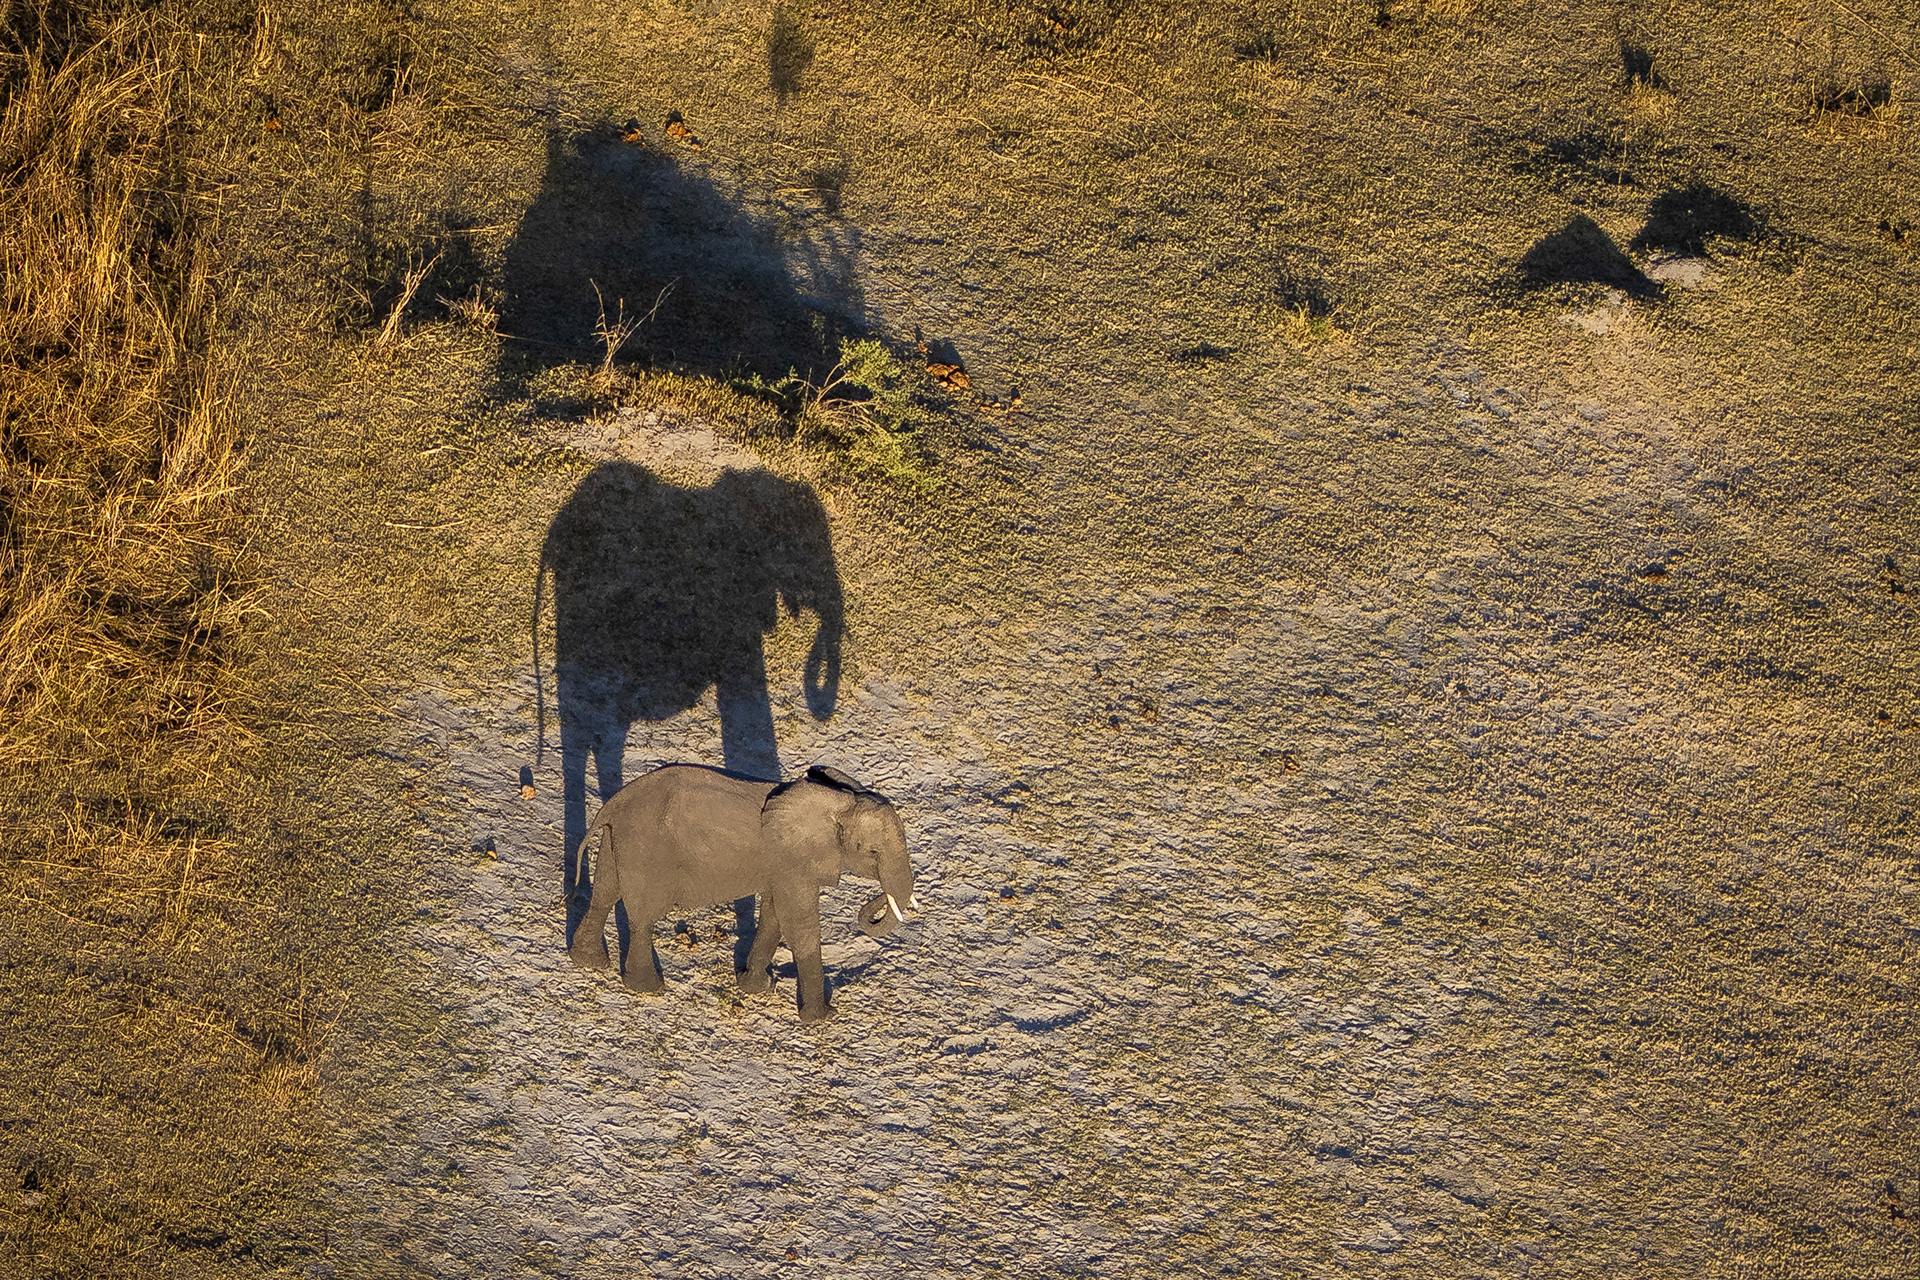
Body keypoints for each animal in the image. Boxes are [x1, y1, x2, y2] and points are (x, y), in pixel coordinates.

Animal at [567, 763, 915, 1021]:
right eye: (872, 852)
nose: (875, 907)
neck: (841, 800)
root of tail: (612, 804)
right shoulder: (794, 860)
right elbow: (799, 925)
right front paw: (822, 1018)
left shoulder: (782, 865)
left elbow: (774, 917)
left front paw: (757, 987)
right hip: (647, 846)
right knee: (643, 915)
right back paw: (649, 988)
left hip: (621, 838)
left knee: (604, 894)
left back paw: (590, 962)